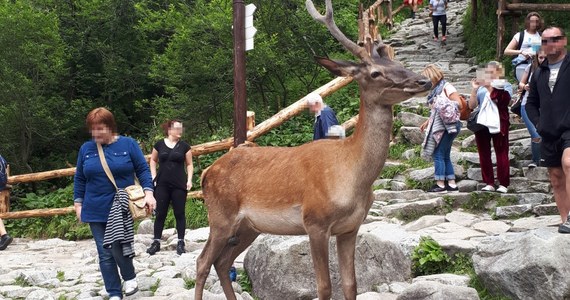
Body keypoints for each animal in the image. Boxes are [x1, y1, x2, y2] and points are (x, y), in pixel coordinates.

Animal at [193, 1, 428, 298]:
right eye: (375, 73)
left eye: (398, 63)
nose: (423, 81)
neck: (353, 176)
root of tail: (206, 172)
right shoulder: (315, 221)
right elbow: (324, 286)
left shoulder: (351, 227)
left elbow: (351, 284)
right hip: (220, 216)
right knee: (202, 261)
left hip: (248, 226)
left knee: (222, 262)